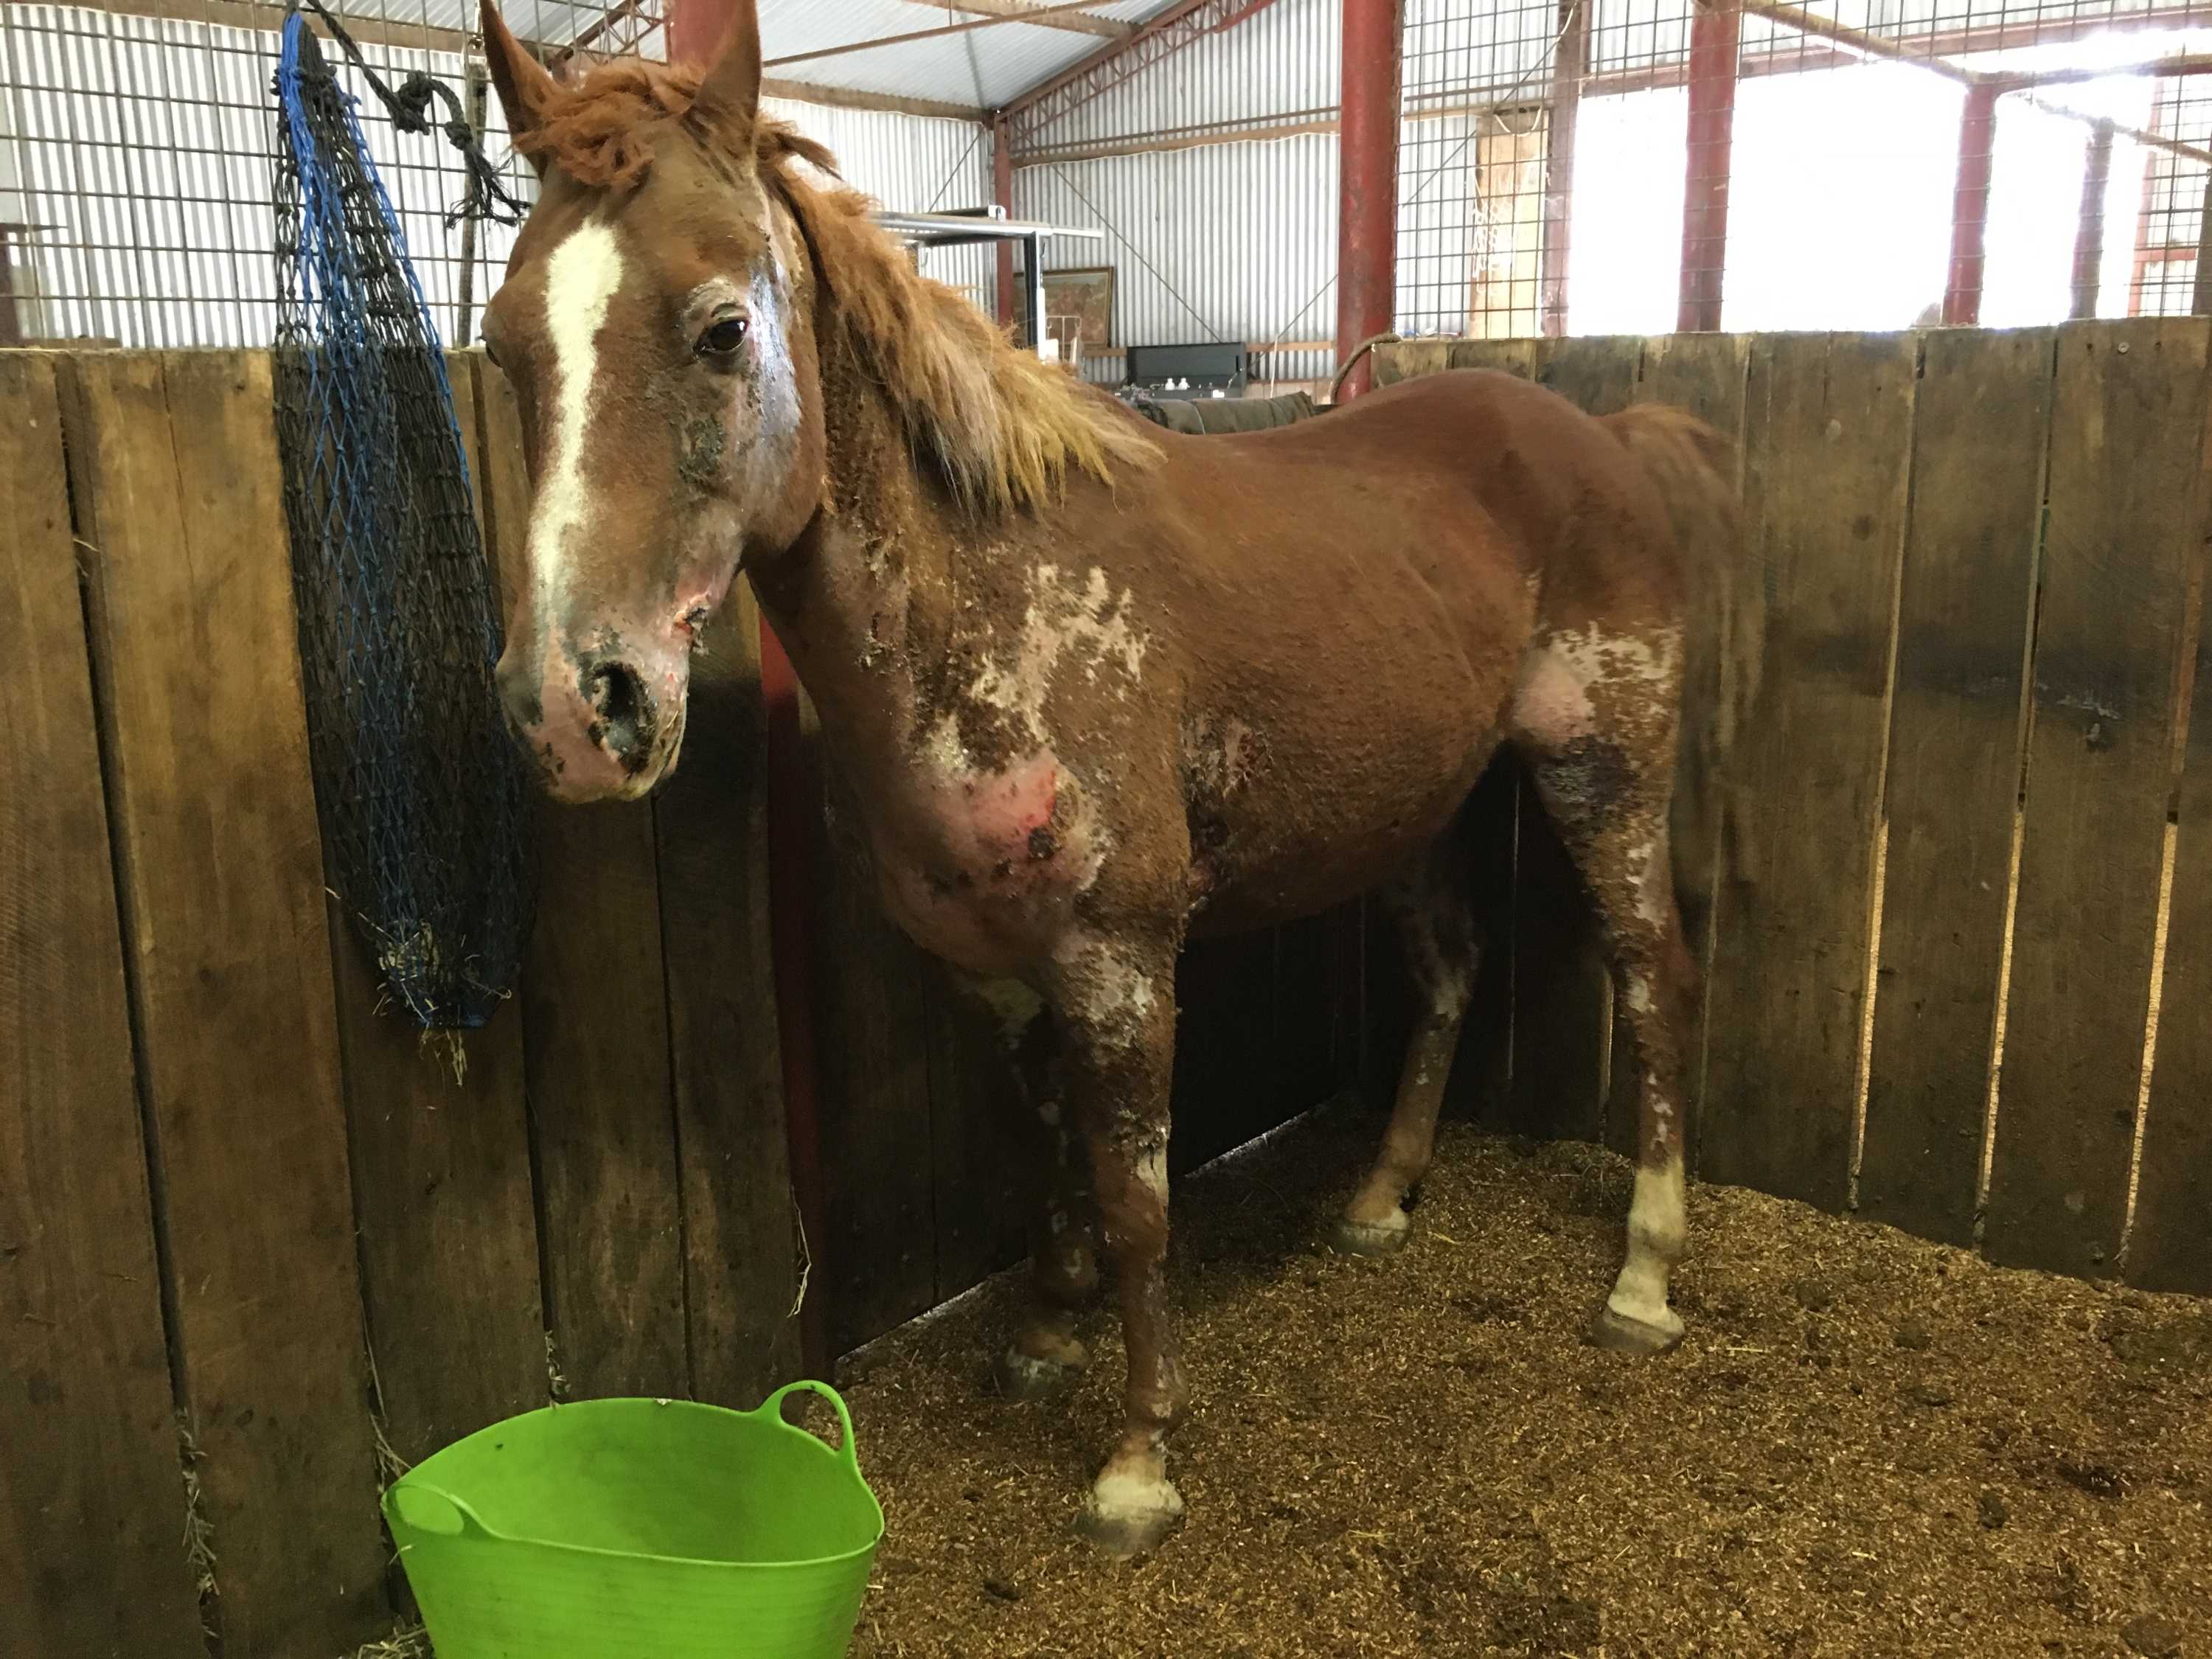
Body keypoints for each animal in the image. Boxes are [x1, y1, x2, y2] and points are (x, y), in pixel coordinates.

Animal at [474, 0, 1751, 1556]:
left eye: (723, 328)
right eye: (504, 345)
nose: (572, 707)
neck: (992, 609)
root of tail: (1602, 438)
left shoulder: (1123, 965)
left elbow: (1139, 1196)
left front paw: (1139, 1458)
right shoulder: (996, 972)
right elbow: (1051, 1158)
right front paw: (1043, 1335)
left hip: (1601, 773)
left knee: (1656, 977)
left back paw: (1643, 1277)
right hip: (1415, 810)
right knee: (1451, 970)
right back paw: (1380, 1201)